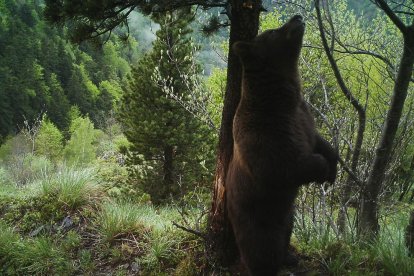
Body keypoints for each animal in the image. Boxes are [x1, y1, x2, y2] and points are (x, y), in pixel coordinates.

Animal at [226, 15, 340, 276]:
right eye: (271, 31)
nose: (297, 17)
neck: (280, 98)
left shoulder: (302, 116)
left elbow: (318, 140)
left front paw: (333, 167)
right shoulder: (265, 133)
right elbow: (282, 167)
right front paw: (322, 169)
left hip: (288, 214)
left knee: (287, 231)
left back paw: (289, 257)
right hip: (256, 218)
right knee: (261, 249)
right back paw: (269, 265)